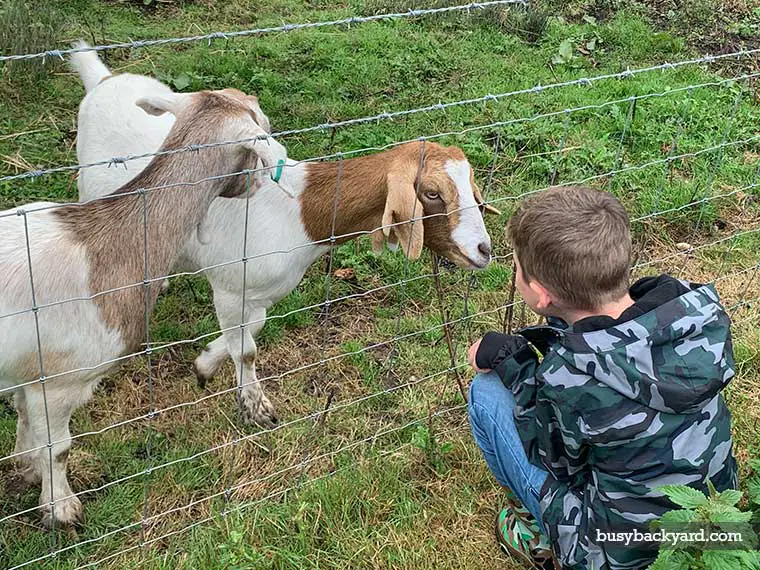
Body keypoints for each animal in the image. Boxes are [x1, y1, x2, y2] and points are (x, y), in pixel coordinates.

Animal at [1, 86, 286, 524]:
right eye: (261, 126)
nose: (256, 186)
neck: (113, 242)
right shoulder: (60, 380)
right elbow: (58, 448)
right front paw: (60, 509)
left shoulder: (27, 371)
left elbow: (22, 415)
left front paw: (26, 467)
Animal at [71, 47, 498, 426]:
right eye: (432, 193)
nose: (484, 250)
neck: (300, 214)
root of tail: (103, 79)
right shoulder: (230, 288)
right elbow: (246, 350)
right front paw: (255, 407)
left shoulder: (258, 294)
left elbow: (252, 329)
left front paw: (205, 363)